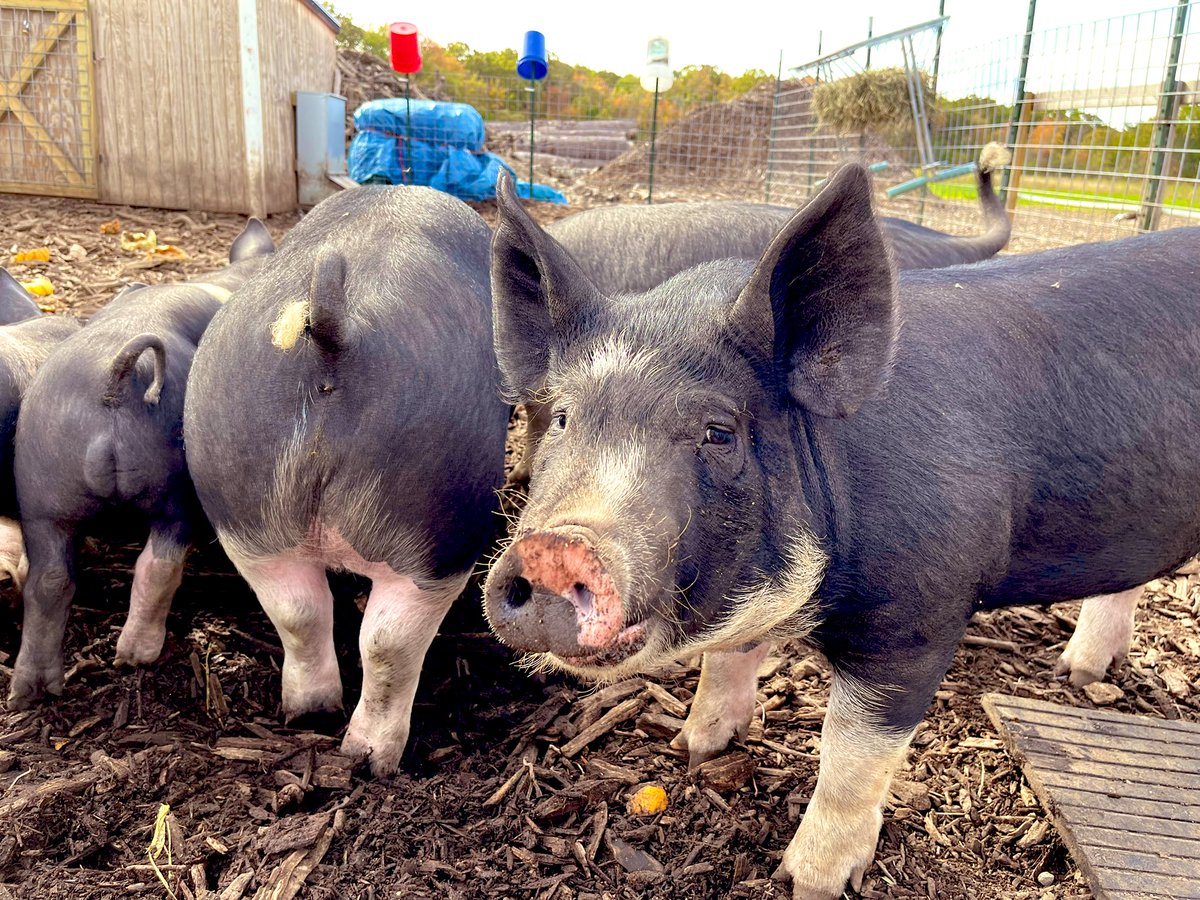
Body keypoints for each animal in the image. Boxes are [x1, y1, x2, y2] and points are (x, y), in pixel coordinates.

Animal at [182, 186, 508, 775]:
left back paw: (309, 714)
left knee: (299, 613)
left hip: (240, 501)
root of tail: (337, 331)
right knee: (388, 642)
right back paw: (373, 760)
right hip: (440, 524)